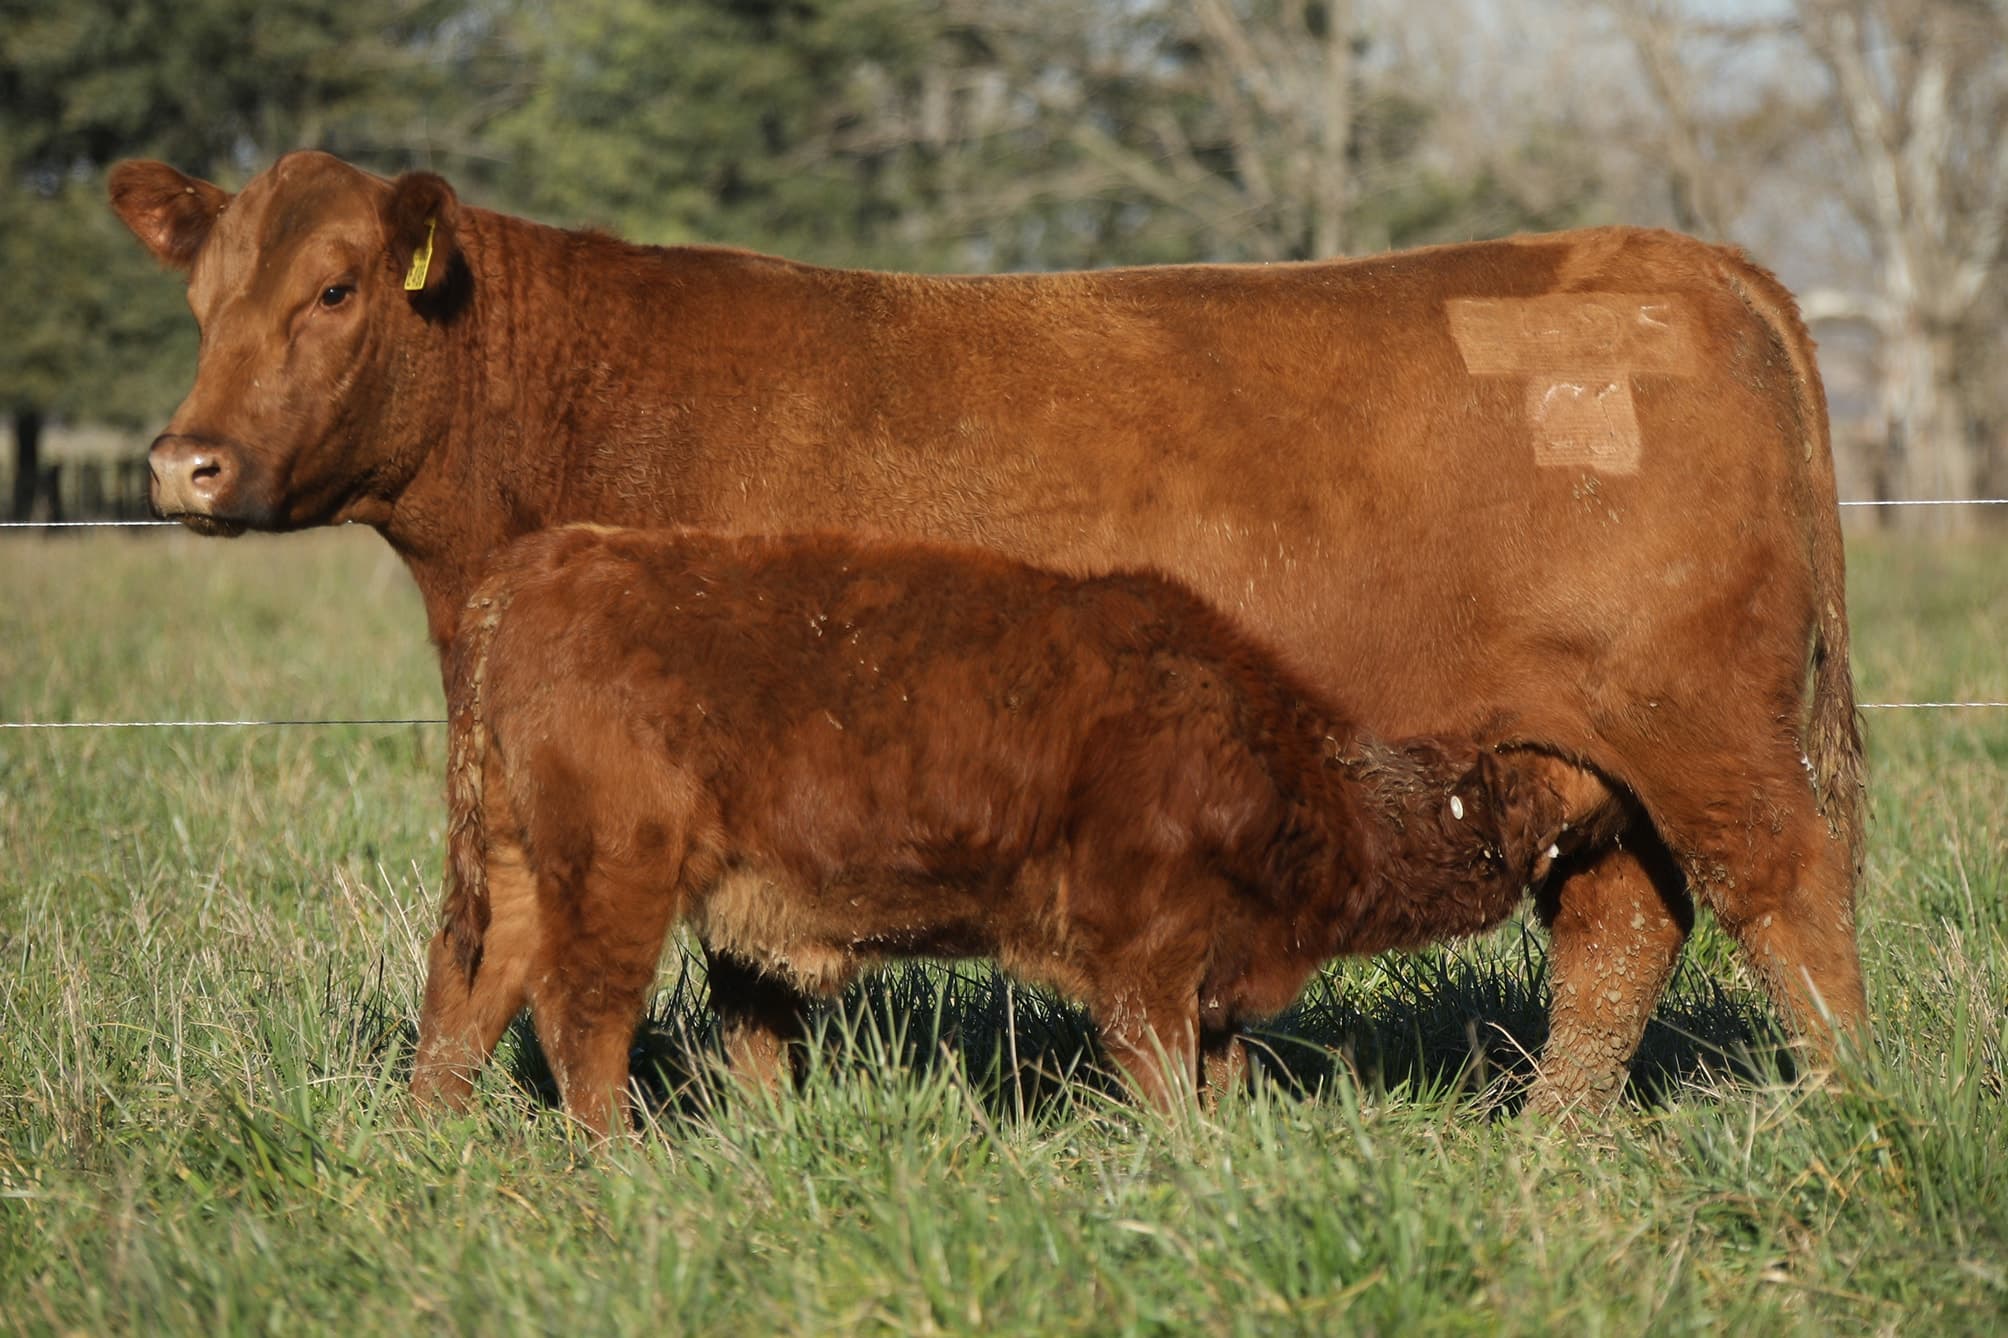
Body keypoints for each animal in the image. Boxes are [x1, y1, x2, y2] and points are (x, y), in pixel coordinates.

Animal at [412, 524, 1583, 1135]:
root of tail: (544, 565)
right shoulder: (1145, 950)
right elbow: (1162, 1075)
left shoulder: (1213, 979)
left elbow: (1224, 1072)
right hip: (614, 871)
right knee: (582, 1014)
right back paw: (620, 1161)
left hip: (518, 868)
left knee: (467, 997)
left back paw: (437, 1136)